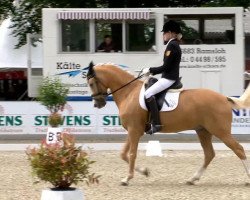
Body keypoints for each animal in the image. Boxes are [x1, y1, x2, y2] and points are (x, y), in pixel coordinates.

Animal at [87, 62, 250, 186]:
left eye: (91, 83)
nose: (97, 104)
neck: (128, 92)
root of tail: (224, 98)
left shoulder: (134, 130)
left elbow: (132, 154)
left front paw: (127, 179)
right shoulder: (133, 131)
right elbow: (123, 154)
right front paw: (145, 172)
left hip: (220, 131)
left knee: (239, 149)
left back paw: (247, 180)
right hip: (203, 131)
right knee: (209, 154)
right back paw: (192, 179)